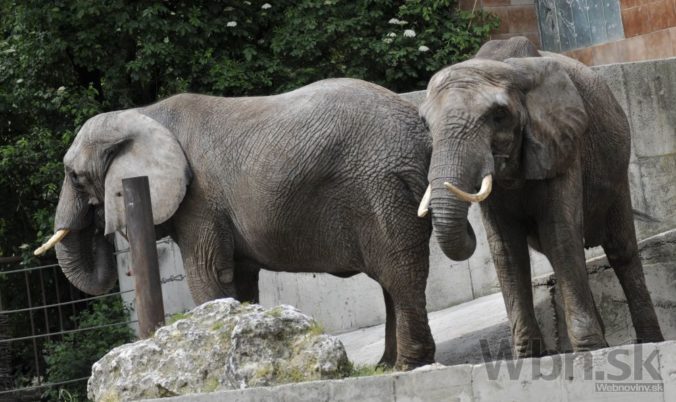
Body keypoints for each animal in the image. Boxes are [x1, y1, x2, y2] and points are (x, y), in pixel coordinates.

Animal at [35, 78, 437, 370]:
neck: (144, 113)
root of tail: (422, 134)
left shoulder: (199, 199)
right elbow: (240, 280)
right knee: (391, 280)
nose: (98, 217)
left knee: (399, 275)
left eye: (75, 177)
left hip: (380, 187)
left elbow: (209, 272)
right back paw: (387, 366)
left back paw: (407, 366)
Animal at [417, 37, 664, 357]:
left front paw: (588, 351)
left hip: (617, 169)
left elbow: (560, 233)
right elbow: (506, 248)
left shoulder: (561, 142)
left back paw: (649, 342)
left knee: (620, 250)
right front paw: (528, 357)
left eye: (498, 116)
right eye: (425, 125)